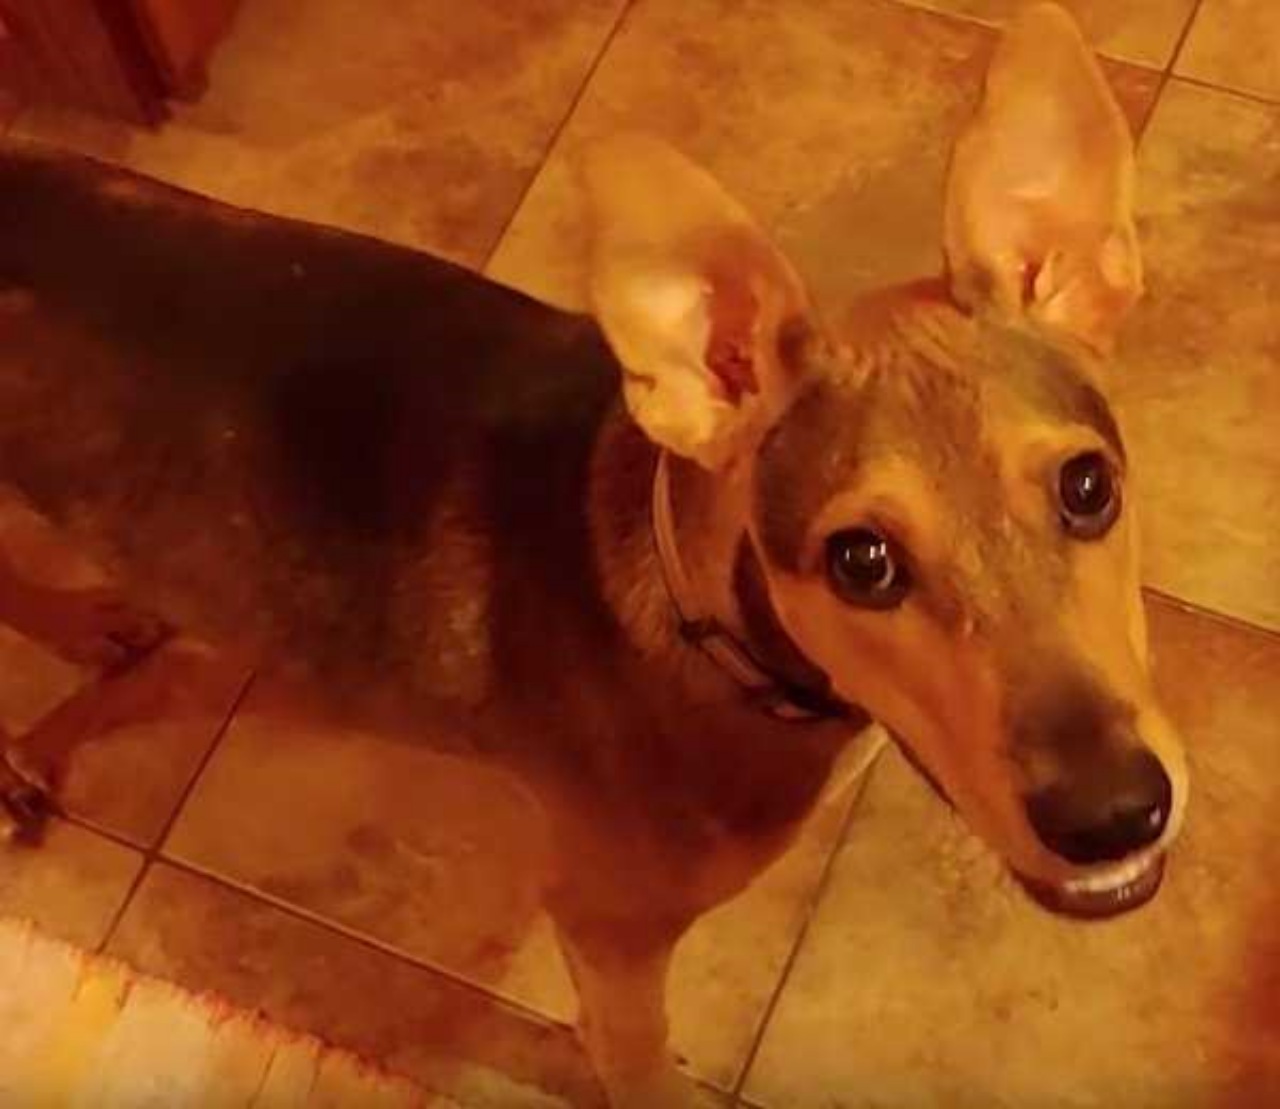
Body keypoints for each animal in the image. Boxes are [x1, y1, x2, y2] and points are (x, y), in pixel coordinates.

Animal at [0, 4, 1182, 1101]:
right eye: (861, 560)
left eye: (1088, 487)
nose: (1114, 812)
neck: (705, 631)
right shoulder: (607, 926)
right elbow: (637, 1056)